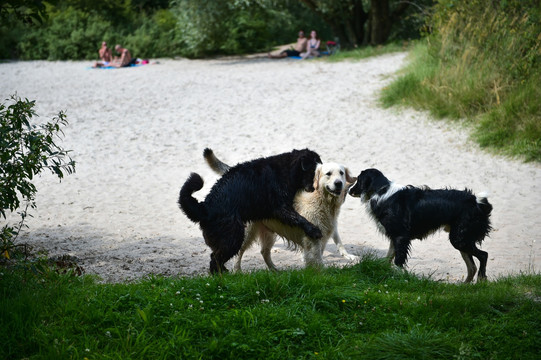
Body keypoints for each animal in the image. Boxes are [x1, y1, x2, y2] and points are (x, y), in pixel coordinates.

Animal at [178, 148, 320, 274]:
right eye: (313, 173)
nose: (314, 188)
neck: (287, 170)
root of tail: (205, 208)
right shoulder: (280, 208)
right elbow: (299, 218)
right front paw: (313, 229)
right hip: (234, 236)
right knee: (215, 259)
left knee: (215, 256)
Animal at [202, 148, 358, 270]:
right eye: (328, 173)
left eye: (341, 173)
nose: (338, 183)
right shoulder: (310, 239)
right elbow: (316, 261)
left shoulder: (324, 236)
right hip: (243, 234)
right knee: (235, 255)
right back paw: (235, 272)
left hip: (268, 233)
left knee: (264, 252)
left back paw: (275, 271)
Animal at [348, 167, 492, 282]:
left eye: (358, 180)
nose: (349, 190)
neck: (382, 191)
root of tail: (475, 201)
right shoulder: (394, 238)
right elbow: (387, 259)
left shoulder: (400, 237)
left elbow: (398, 261)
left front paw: (402, 279)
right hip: (461, 239)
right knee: (472, 267)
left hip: (459, 239)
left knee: (483, 255)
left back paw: (481, 280)